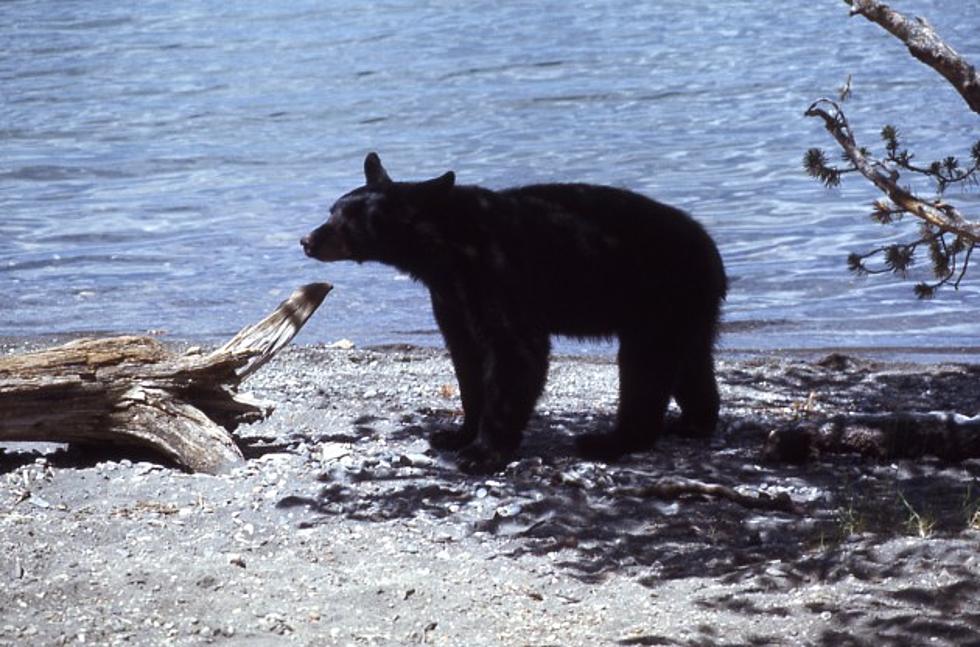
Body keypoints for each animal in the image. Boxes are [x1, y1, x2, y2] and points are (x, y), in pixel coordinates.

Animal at [302, 154, 724, 474]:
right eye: (331, 211)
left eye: (348, 221)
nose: (307, 240)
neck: (446, 249)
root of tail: (711, 251)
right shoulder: (452, 299)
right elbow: (466, 361)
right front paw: (457, 433)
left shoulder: (501, 276)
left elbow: (516, 355)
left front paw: (483, 452)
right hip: (686, 308)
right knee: (690, 362)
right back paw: (693, 422)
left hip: (658, 296)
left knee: (645, 367)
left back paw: (610, 440)